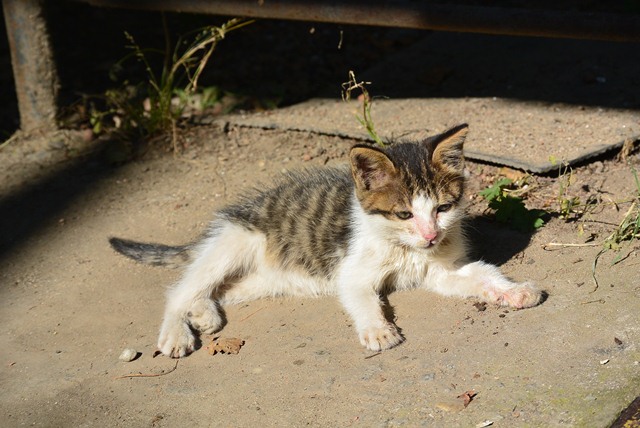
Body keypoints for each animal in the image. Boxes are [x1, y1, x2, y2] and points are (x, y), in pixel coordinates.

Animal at [109, 123, 540, 358]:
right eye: (404, 215)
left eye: (444, 208)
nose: (431, 235)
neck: (402, 248)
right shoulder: (351, 271)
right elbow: (362, 296)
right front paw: (378, 329)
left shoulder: (441, 271)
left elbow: (481, 275)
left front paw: (514, 290)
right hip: (233, 242)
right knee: (180, 290)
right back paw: (177, 332)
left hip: (265, 280)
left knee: (219, 290)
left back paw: (205, 313)